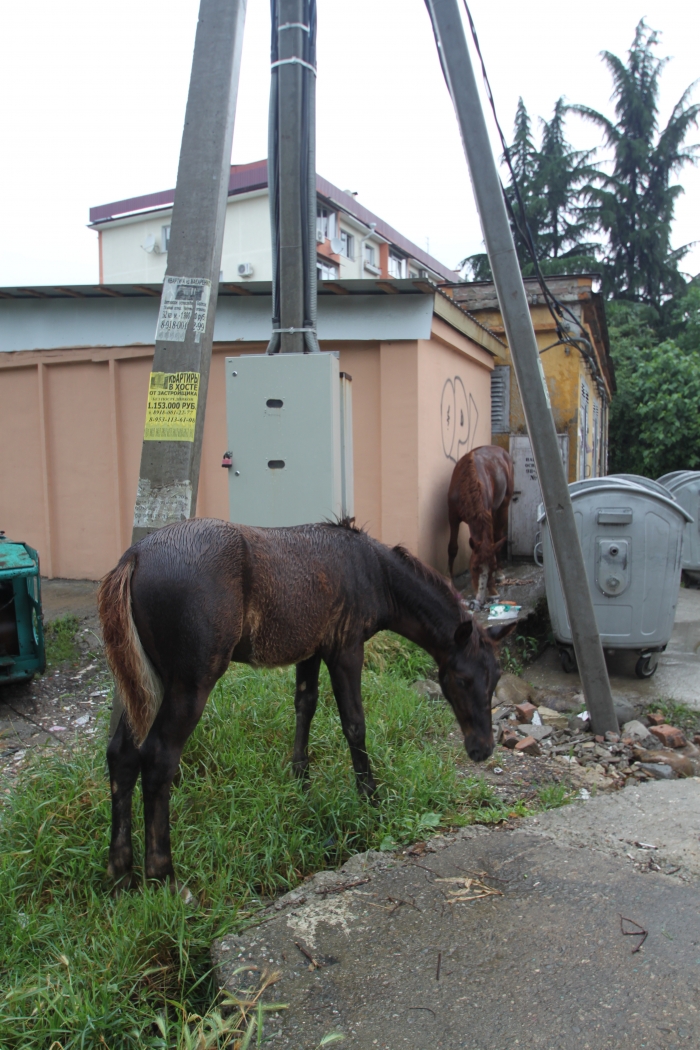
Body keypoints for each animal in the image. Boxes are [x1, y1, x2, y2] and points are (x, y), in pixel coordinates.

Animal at [98, 516, 514, 886]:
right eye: (461, 679)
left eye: (496, 679)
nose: (481, 749)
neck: (372, 570)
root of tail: (134, 557)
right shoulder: (346, 648)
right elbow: (354, 723)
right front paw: (370, 798)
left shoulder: (311, 649)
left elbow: (305, 704)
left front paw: (301, 781)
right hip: (189, 683)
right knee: (158, 758)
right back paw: (163, 874)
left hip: (142, 682)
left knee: (122, 753)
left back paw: (120, 870)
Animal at [449, 445, 514, 609]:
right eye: (473, 568)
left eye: (492, 567)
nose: (481, 598)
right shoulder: (452, 516)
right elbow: (452, 547)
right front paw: (450, 580)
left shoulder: (488, 512)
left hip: (504, 505)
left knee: (498, 534)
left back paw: (500, 574)